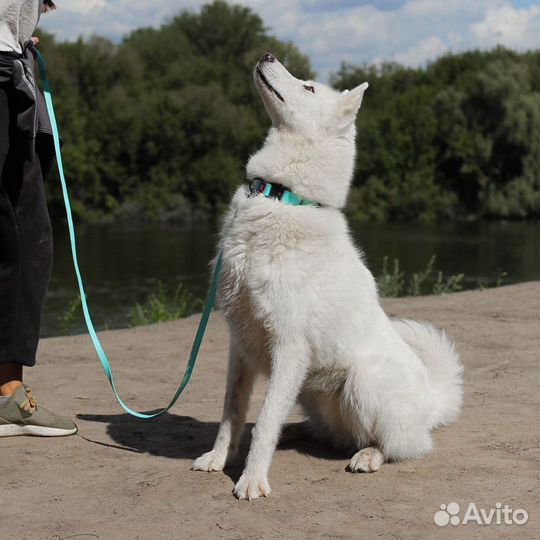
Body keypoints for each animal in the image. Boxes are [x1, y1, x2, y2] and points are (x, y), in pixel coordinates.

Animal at [192, 52, 462, 500]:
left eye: (309, 87)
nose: (267, 54)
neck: (282, 195)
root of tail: (431, 403)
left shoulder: (288, 348)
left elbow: (266, 420)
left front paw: (252, 479)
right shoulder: (240, 344)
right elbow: (233, 410)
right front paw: (219, 458)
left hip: (363, 382)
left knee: (402, 445)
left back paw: (369, 455)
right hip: (309, 391)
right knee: (325, 431)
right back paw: (298, 432)